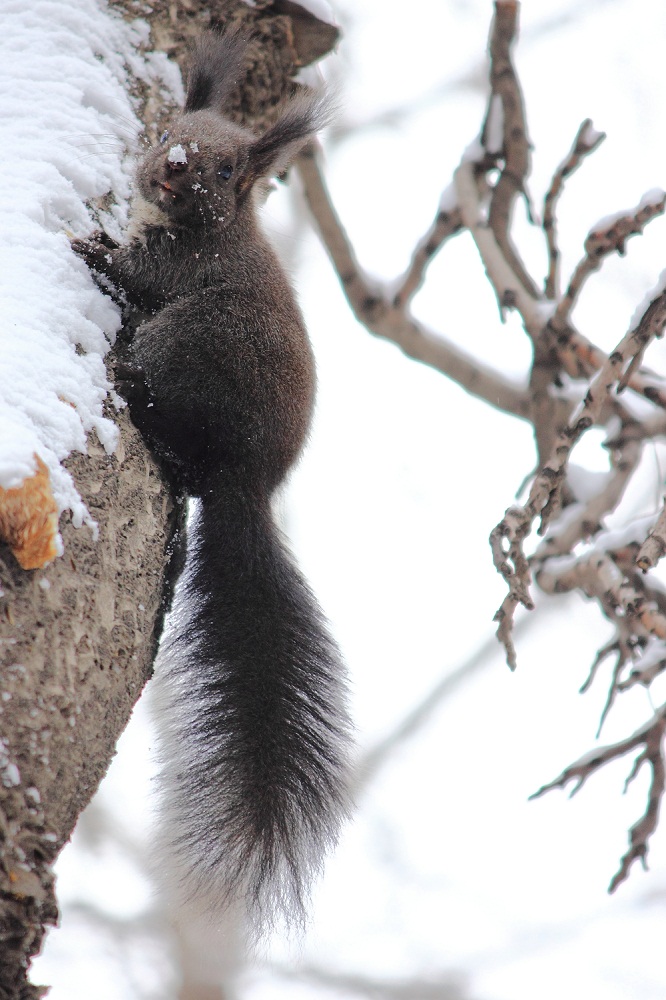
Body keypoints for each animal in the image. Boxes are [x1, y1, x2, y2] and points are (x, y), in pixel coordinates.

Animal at [71, 33, 352, 936]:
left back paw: (134, 388)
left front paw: (91, 250)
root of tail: (248, 482)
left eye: (227, 170)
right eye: (169, 130)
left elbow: (134, 270)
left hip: (191, 342)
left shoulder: (176, 269)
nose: (172, 168)